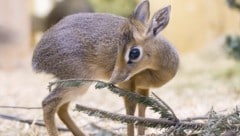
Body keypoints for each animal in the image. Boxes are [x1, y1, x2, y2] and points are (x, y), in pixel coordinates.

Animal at [31, 0, 178, 135]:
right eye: (118, 47)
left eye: (134, 52)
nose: (113, 79)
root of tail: (36, 57)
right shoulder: (127, 86)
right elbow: (130, 113)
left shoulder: (143, 89)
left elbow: (142, 116)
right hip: (78, 82)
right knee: (48, 103)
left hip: (77, 86)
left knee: (62, 108)